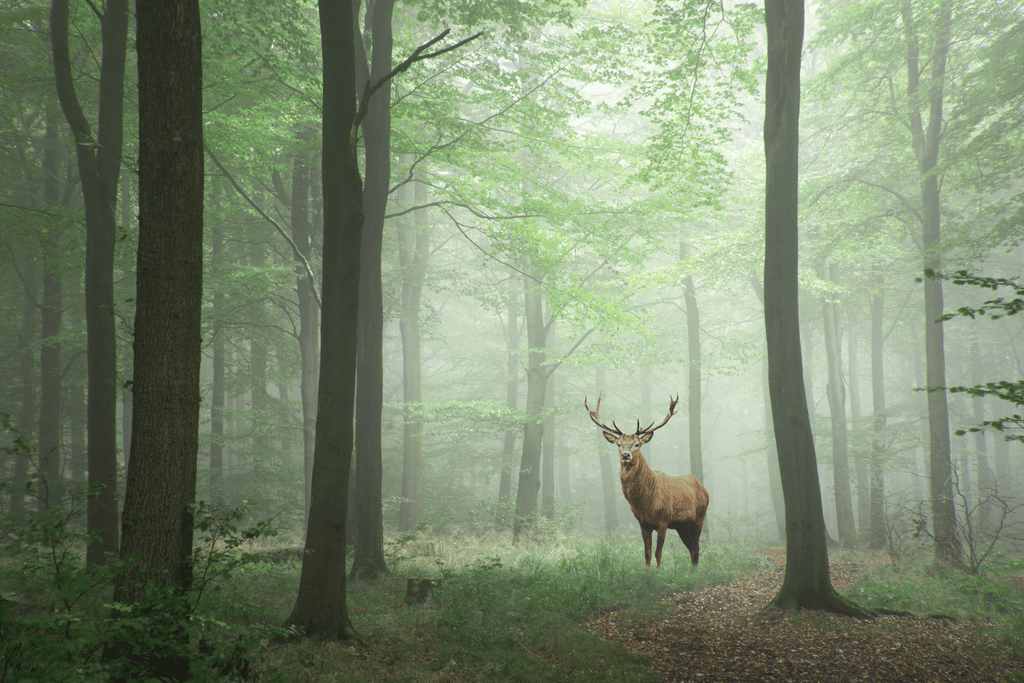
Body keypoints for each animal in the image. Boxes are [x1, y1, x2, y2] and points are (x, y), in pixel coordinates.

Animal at [586, 394, 708, 569]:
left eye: (637, 444)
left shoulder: (664, 520)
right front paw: (648, 572)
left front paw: (657, 573)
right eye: (618, 444)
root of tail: (704, 489)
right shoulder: (643, 523)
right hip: (682, 525)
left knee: (696, 548)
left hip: (699, 517)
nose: (625, 455)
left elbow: (658, 553)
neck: (646, 502)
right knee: (692, 549)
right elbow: (647, 554)